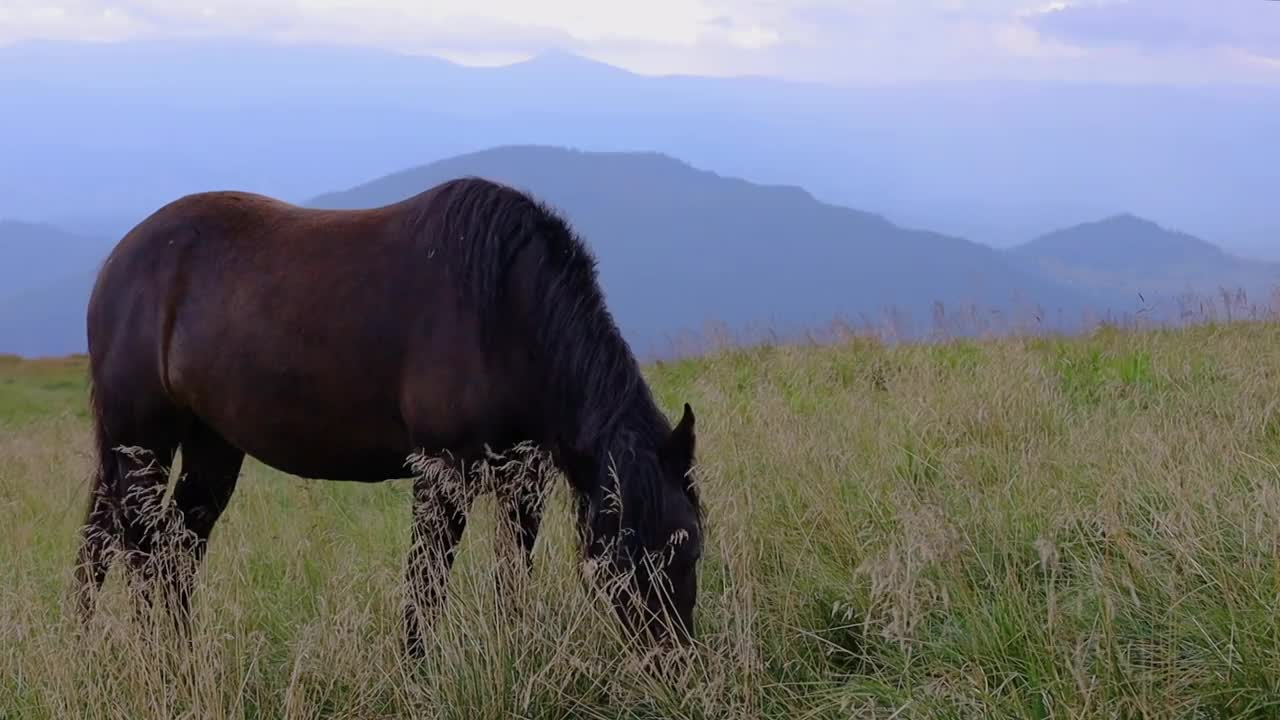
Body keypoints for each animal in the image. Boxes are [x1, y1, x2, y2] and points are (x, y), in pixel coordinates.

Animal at [73, 175, 706, 655]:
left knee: (163, 550)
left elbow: (510, 584)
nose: (670, 663)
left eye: (691, 548)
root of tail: (118, 261)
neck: (501, 310)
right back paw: (157, 665)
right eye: (618, 558)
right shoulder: (443, 475)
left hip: (210, 445)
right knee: (137, 548)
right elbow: (424, 591)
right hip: (142, 442)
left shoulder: (523, 480)